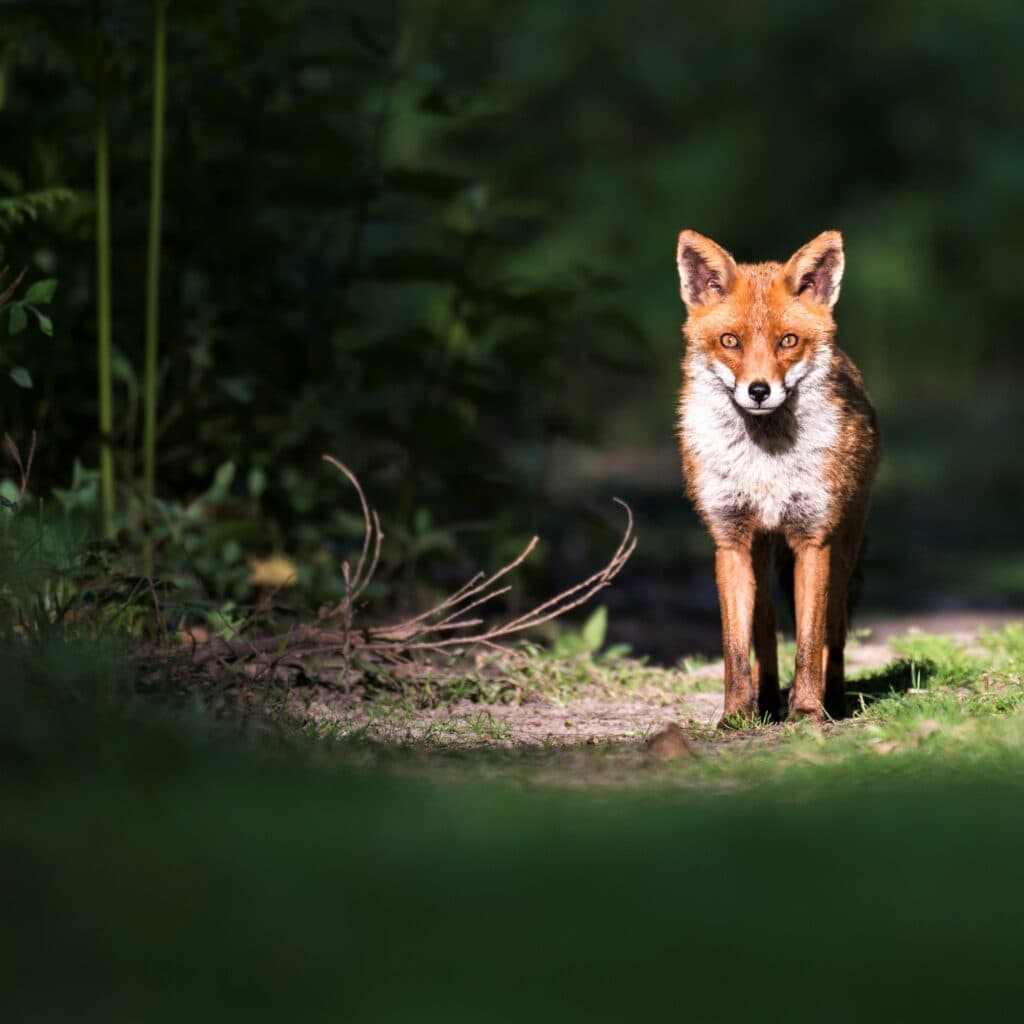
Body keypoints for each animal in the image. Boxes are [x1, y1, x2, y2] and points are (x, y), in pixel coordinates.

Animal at [679, 232, 880, 729]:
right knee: (765, 628)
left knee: (834, 633)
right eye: (730, 341)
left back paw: (833, 700)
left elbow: (810, 642)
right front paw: (735, 713)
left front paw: (807, 710)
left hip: (843, 549)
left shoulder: (813, 539)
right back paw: (767, 698)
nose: (758, 391)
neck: (765, 464)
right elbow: (735, 648)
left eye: (788, 340)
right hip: (761, 550)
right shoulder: (730, 541)